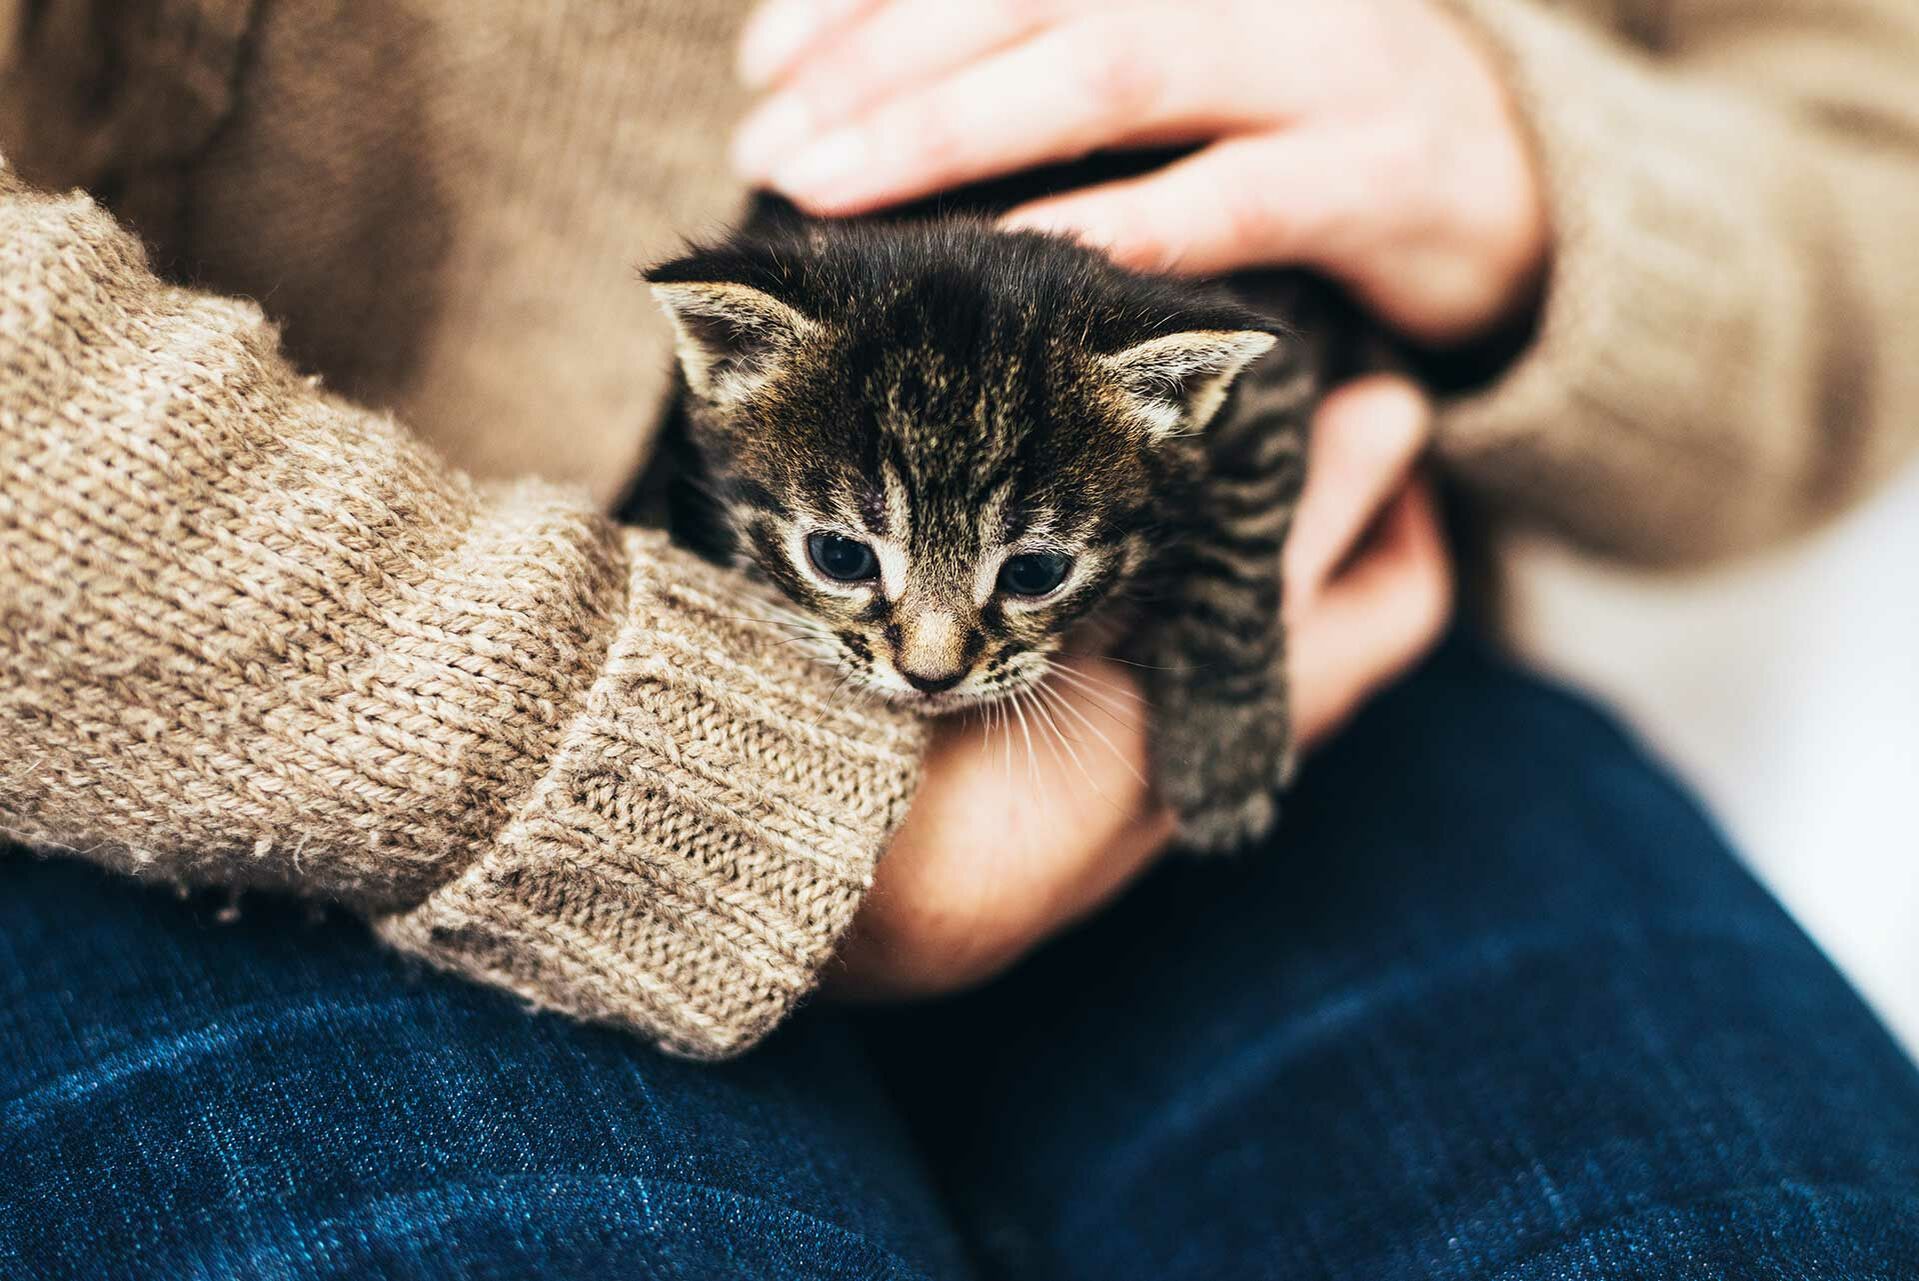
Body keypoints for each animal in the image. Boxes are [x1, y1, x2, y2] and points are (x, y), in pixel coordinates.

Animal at [629, 157, 1366, 851]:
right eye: (839, 556)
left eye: (1034, 574)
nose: (930, 676)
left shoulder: (1273, 373)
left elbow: (1239, 542)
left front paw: (1224, 741)